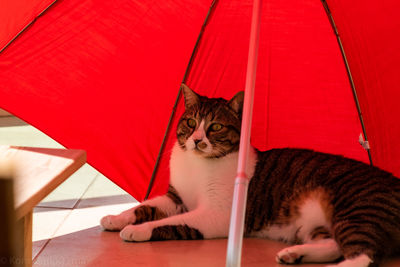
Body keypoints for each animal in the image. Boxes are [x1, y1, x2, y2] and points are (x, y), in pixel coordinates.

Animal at [100, 83, 400, 266]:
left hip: (357, 210)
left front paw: (136, 230)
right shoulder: (175, 198)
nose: (196, 140)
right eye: (191, 122)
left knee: (362, 255)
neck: (198, 165)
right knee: (333, 244)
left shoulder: (217, 215)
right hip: (316, 224)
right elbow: (143, 207)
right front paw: (115, 218)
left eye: (216, 127)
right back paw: (293, 253)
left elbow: (168, 222)